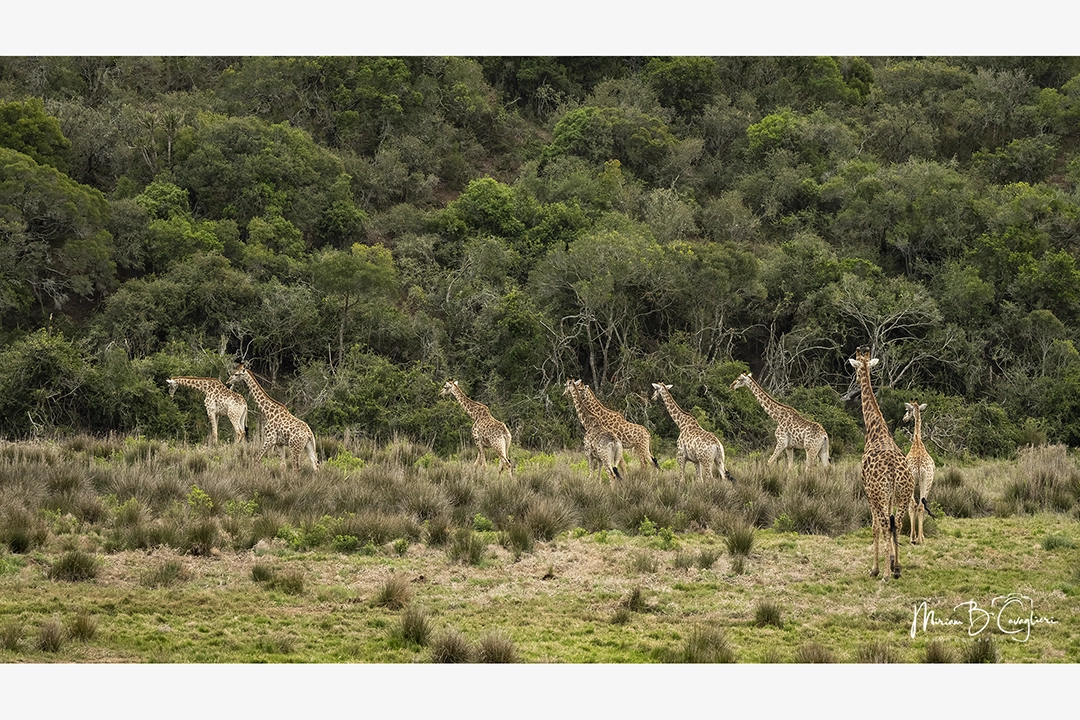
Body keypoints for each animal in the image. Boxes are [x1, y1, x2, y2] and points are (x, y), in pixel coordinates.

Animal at [848, 346, 916, 579]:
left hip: (879, 494)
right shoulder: (888, 498)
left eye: (855, 367)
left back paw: (885, 573)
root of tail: (895, 472)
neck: (875, 431)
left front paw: (875, 568)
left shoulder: (869, 493)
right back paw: (897, 569)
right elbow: (892, 524)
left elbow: (875, 527)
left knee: (886, 524)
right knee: (899, 522)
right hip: (903, 494)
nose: (855, 380)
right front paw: (893, 561)